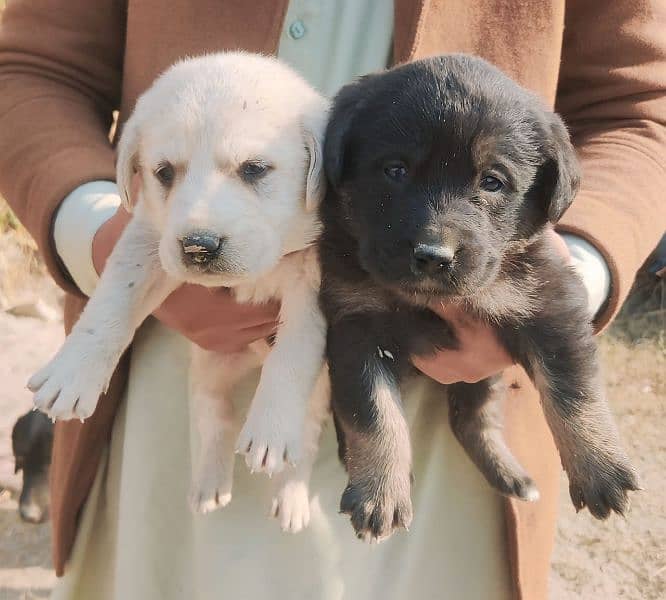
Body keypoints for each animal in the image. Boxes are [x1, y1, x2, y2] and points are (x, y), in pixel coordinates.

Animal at [28, 51, 330, 528]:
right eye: (164, 173)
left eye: (254, 169)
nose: (198, 246)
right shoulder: (146, 239)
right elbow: (111, 305)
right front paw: (73, 372)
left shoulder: (316, 277)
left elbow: (294, 353)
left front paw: (271, 426)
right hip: (209, 367)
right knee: (214, 413)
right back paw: (209, 483)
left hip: (322, 391)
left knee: (308, 437)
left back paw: (292, 496)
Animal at [318, 56, 640, 540]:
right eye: (395, 170)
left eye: (492, 181)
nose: (433, 257)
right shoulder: (355, 326)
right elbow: (375, 414)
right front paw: (381, 490)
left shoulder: (550, 304)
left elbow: (573, 391)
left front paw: (601, 467)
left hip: (485, 375)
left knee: (473, 418)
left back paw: (512, 475)